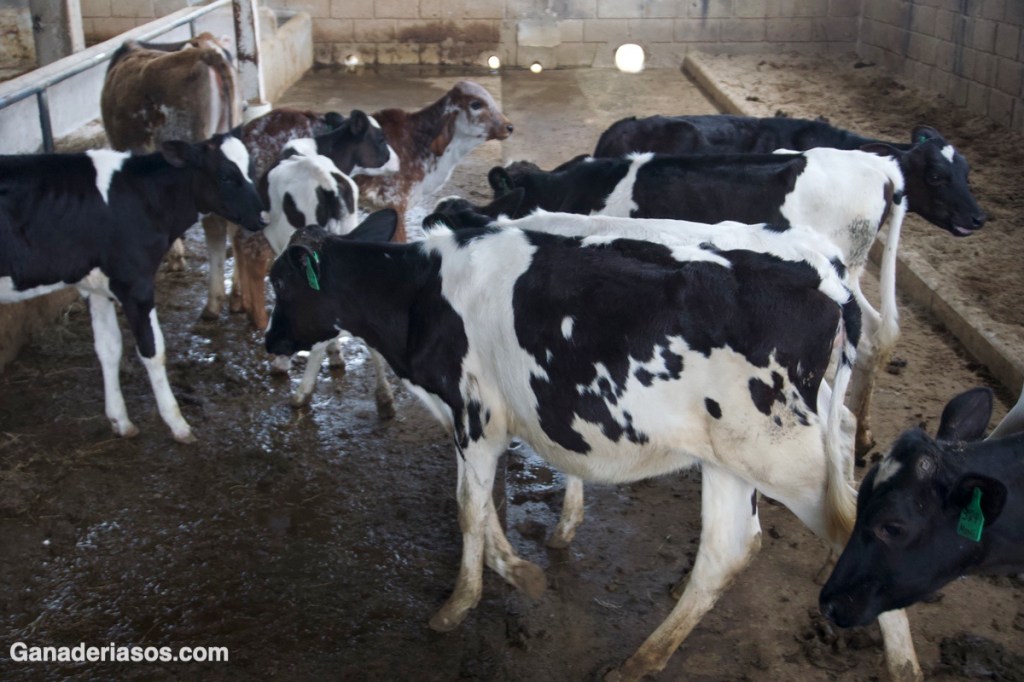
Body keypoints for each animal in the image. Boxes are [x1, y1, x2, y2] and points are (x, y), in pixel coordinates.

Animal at [0, 134, 267, 442]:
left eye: (251, 168)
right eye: (225, 176)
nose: (264, 216)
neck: (144, 198)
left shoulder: (97, 286)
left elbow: (109, 347)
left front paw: (121, 421)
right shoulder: (135, 283)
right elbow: (153, 350)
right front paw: (177, 424)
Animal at [264, 209, 922, 682]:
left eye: (278, 282)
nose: (269, 339)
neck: (423, 296)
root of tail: (828, 277)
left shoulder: (475, 414)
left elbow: (468, 510)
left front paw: (462, 602)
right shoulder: (479, 420)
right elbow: (478, 502)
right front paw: (520, 567)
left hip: (782, 450)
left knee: (854, 524)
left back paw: (902, 665)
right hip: (730, 456)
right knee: (726, 550)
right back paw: (641, 661)